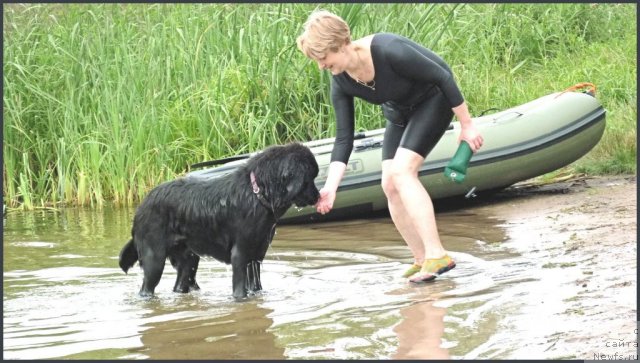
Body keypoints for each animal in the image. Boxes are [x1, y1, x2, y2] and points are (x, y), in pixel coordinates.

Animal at [119, 144, 318, 300]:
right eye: (310, 178)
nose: (318, 196)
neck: (256, 194)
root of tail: (141, 206)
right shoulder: (240, 254)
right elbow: (240, 291)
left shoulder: (256, 255)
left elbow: (256, 287)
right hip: (154, 259)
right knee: (146, 289)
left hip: (189, 259)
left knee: (180, 283)